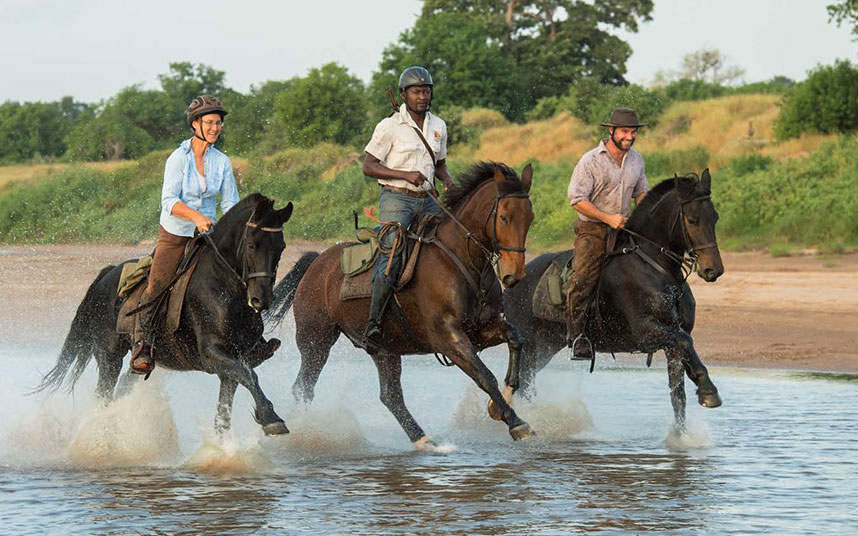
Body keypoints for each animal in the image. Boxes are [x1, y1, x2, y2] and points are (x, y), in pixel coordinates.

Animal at [36, 195, 318, 438]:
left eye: (281, 247)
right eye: (251, 244)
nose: (261, 299)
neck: (224, 287)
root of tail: (106, 276)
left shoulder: (235, 359)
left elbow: (226, 407)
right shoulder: (213, 355)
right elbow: (250, 377)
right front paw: (271, 418)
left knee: (123, 387)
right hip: (109, 356)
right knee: (104, 395)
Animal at [280, 163, 532, 448]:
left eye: (530, 217)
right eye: (504, 218)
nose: (514, 275)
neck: (463, 261)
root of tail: (315, 263)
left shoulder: (478, 330)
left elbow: (515, 338)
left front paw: (500, 402)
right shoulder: (449, 338)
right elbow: (484, 375)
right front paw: (515, 422)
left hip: (384, 350)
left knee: (390, 396)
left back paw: (423, 440)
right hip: (316, 341)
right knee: (303, 387)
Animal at [498, 170, 724, 430]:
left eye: (715, 217)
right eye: (692, 219)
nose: (713, 270)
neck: (656, 267)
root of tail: (510, 284)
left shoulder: (671, 339)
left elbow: (678, 393)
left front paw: (682, 434)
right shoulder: (646, 332)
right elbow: (686, 342)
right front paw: (708, 391)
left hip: (546, 345)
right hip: (529, 345)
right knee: (523, 384)